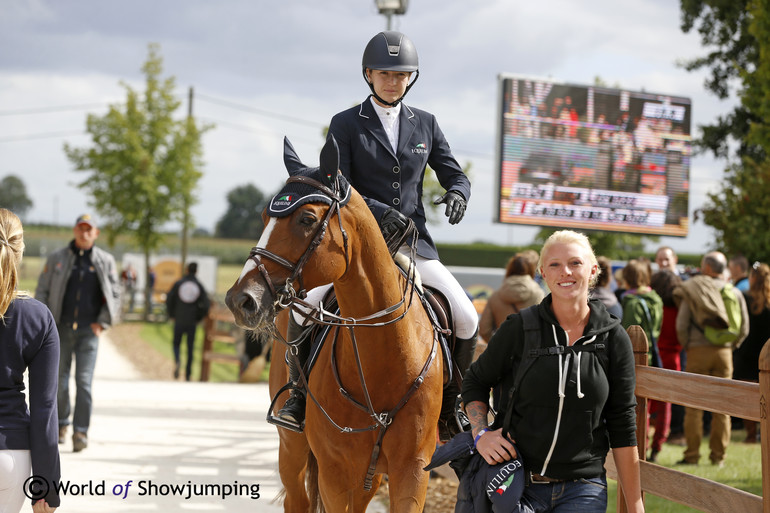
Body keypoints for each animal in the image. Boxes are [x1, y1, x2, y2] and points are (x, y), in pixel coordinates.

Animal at [225, 134, 440, 510]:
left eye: (307, 220)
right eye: (265, 216)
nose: (241, 300)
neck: (386, 358)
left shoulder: (413, 471)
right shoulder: (334, 473)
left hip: (371, 475)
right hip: (292, 449)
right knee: (296, 499)